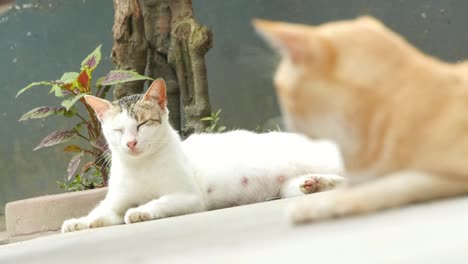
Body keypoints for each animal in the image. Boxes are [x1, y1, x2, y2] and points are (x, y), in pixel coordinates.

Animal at [62, 79, 344, 233]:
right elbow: (100, 213)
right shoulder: (114, 203)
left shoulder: (188, 197)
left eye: (142, 124)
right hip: (287, 187)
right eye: (118, 130)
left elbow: (158, 202)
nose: (131, 143)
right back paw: (315, 183)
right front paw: (79, 222)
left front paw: (141, 211)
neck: (141, 166)